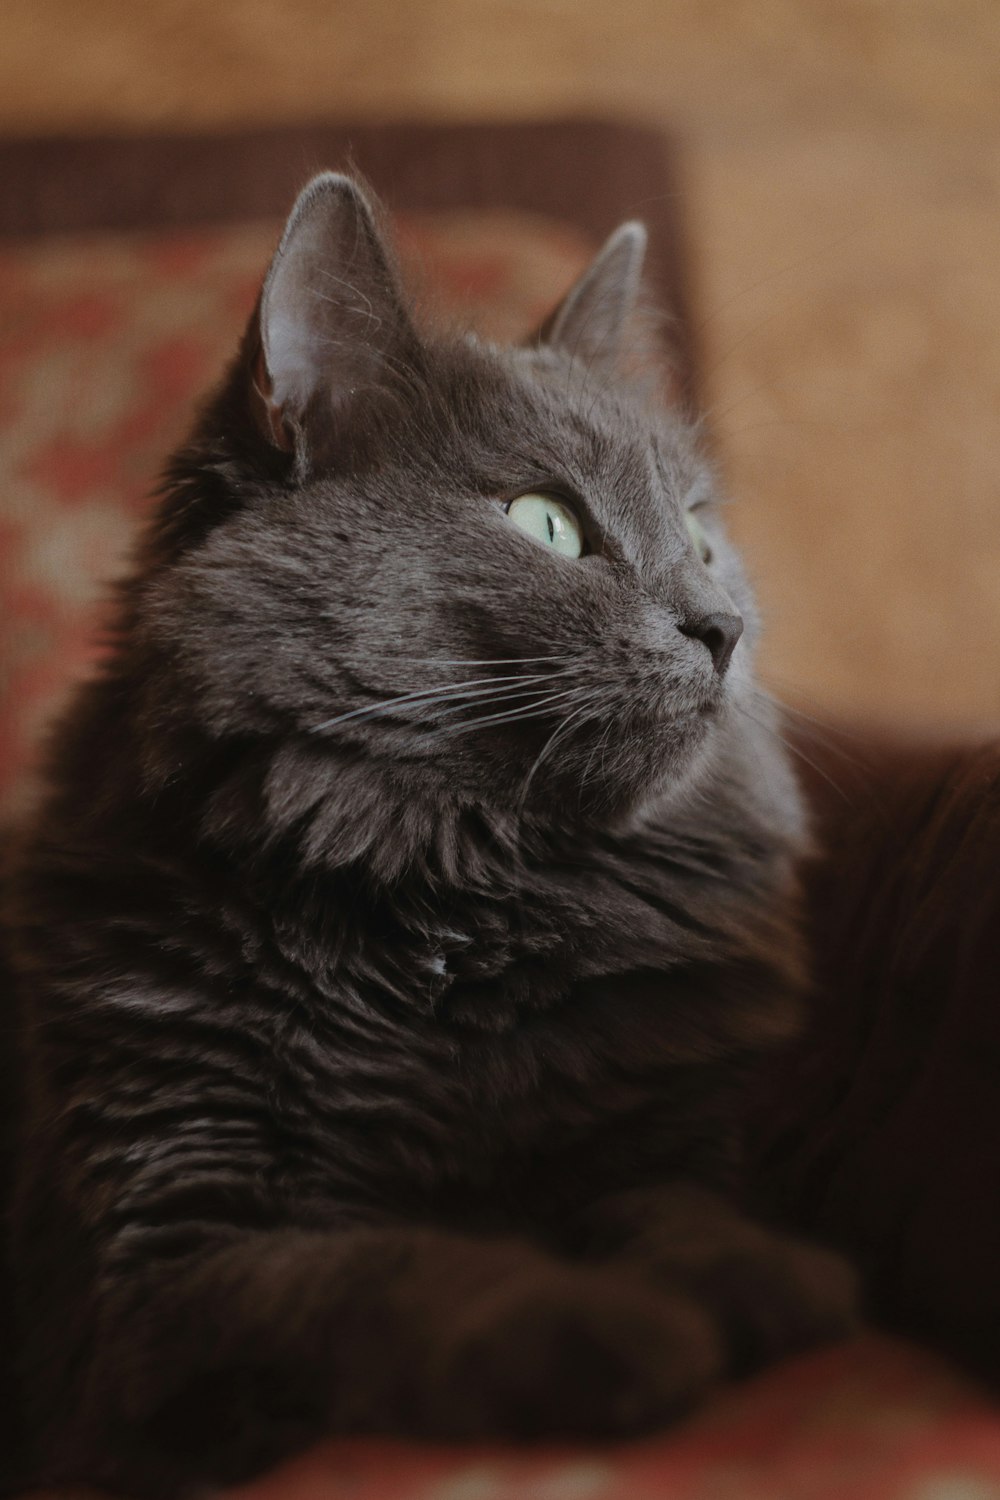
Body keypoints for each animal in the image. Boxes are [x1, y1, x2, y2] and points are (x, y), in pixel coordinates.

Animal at [0, 172, 857, 1488]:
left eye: (704, 534)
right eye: (545, 523)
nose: (720, 625)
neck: (455, 898)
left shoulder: (655, 1134)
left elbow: (671, 1207)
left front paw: (759, 1279)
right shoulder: (169, 1263)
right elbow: (383, 1273)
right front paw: (597, 1328)